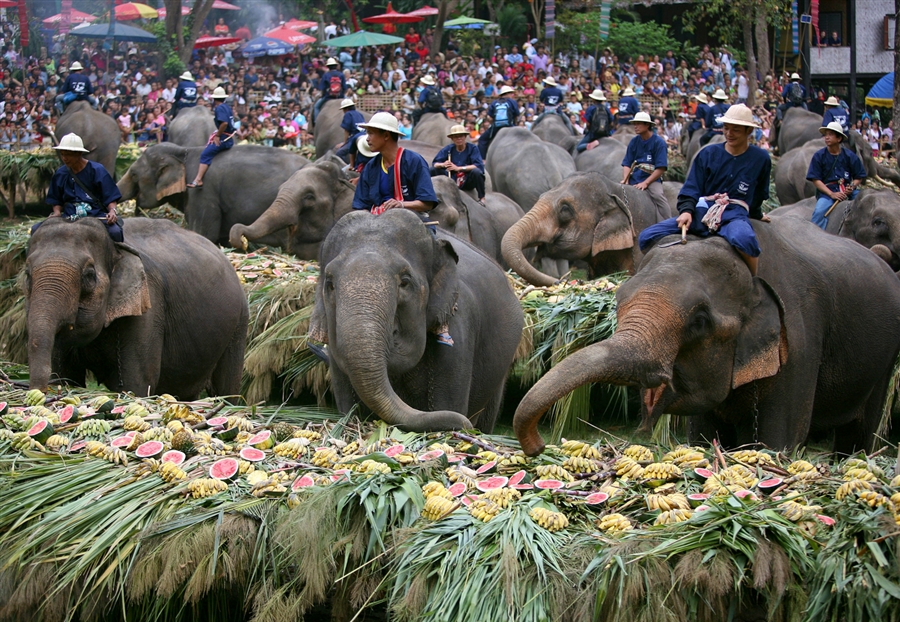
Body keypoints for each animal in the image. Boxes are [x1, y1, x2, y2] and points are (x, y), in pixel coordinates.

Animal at [26, 217, 248, 398]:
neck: (116, 248)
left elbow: (137, 382)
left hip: (239, 322)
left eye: (89, 276)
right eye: (27, 274)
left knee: (226, 387)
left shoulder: (149, 304)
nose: (42, 392)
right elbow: (64, 374)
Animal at [310, 210, 524, 434]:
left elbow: (447, 403)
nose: (465, 425)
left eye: (405, 282)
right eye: (330, 284)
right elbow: (346, 402)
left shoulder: (459, 329)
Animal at [510, 216, 900, 458]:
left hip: (882, 361)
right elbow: (701, 434)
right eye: (618, 301)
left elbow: (781, 438)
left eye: (699, 321)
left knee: (860, 430)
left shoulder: (802, 341)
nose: (539, 446)